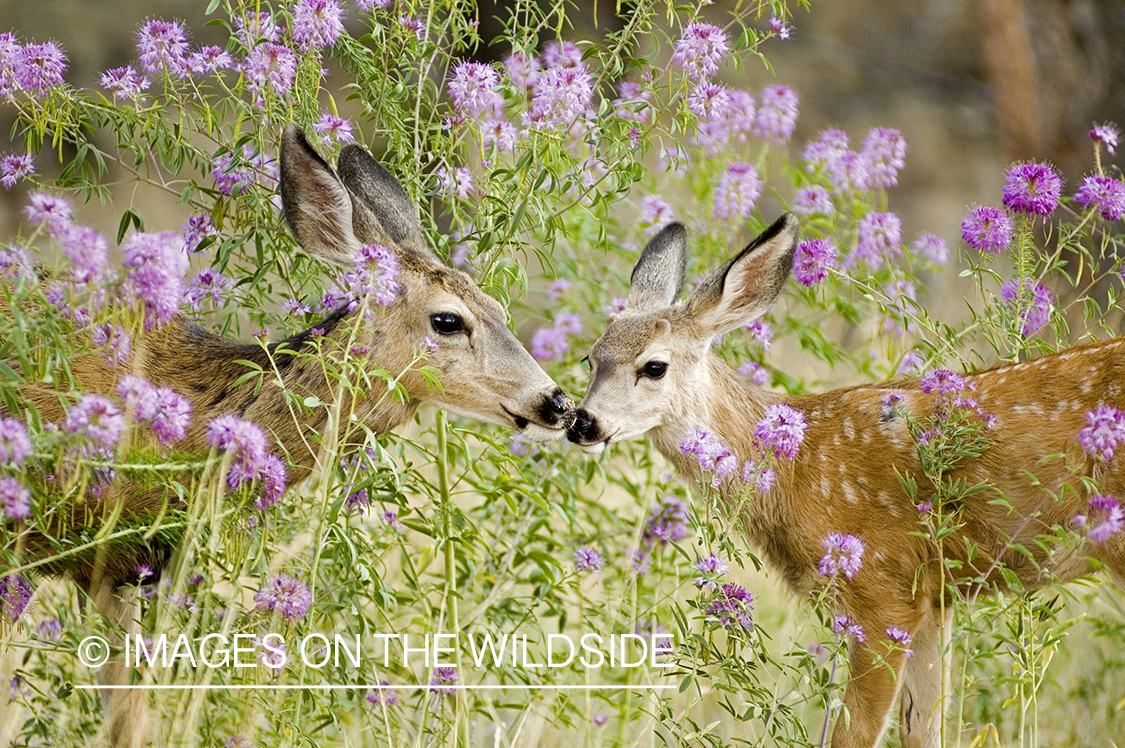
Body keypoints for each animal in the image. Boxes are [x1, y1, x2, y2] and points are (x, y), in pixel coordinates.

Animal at [566, 214, 1125, 748]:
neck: (799, 472)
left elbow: (852, 734)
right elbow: (922, 730)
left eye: (654, 366)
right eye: (591, 358)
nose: (582, 422)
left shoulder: (882, 591)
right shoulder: (932, 599)